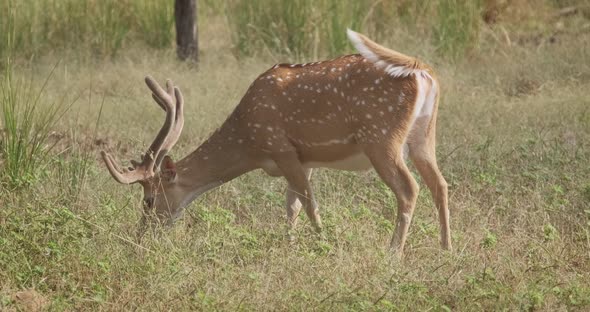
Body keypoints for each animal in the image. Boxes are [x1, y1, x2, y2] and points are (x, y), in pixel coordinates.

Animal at [102, 28, 454, 254]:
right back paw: (446, 248)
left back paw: (393, 252)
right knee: (440, 183)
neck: (249, 142)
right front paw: (290, 246)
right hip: (424, 135)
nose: (140, 237)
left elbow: (308, 204)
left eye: (149, 200)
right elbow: (292, 206)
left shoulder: (280, 147)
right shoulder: (303, 158)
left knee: (409, 188)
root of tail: (424, 71)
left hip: (381, 137)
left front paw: (323, 245)